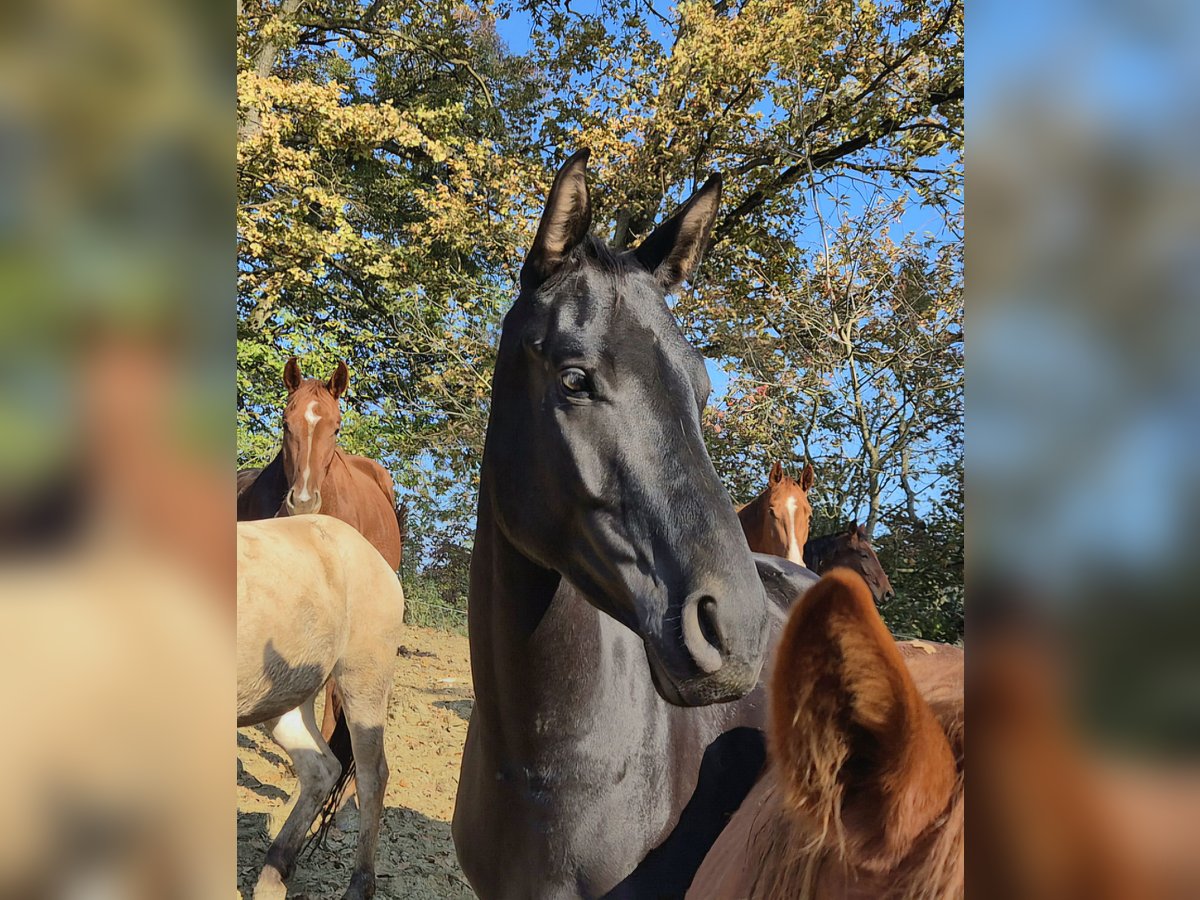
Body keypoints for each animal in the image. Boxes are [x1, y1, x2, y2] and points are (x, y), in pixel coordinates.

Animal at [237, 513, 403, 900]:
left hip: (363, 679)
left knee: (371, 775)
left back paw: (358, 887)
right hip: (285, 698)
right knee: (322, 768)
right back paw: (273, 875)